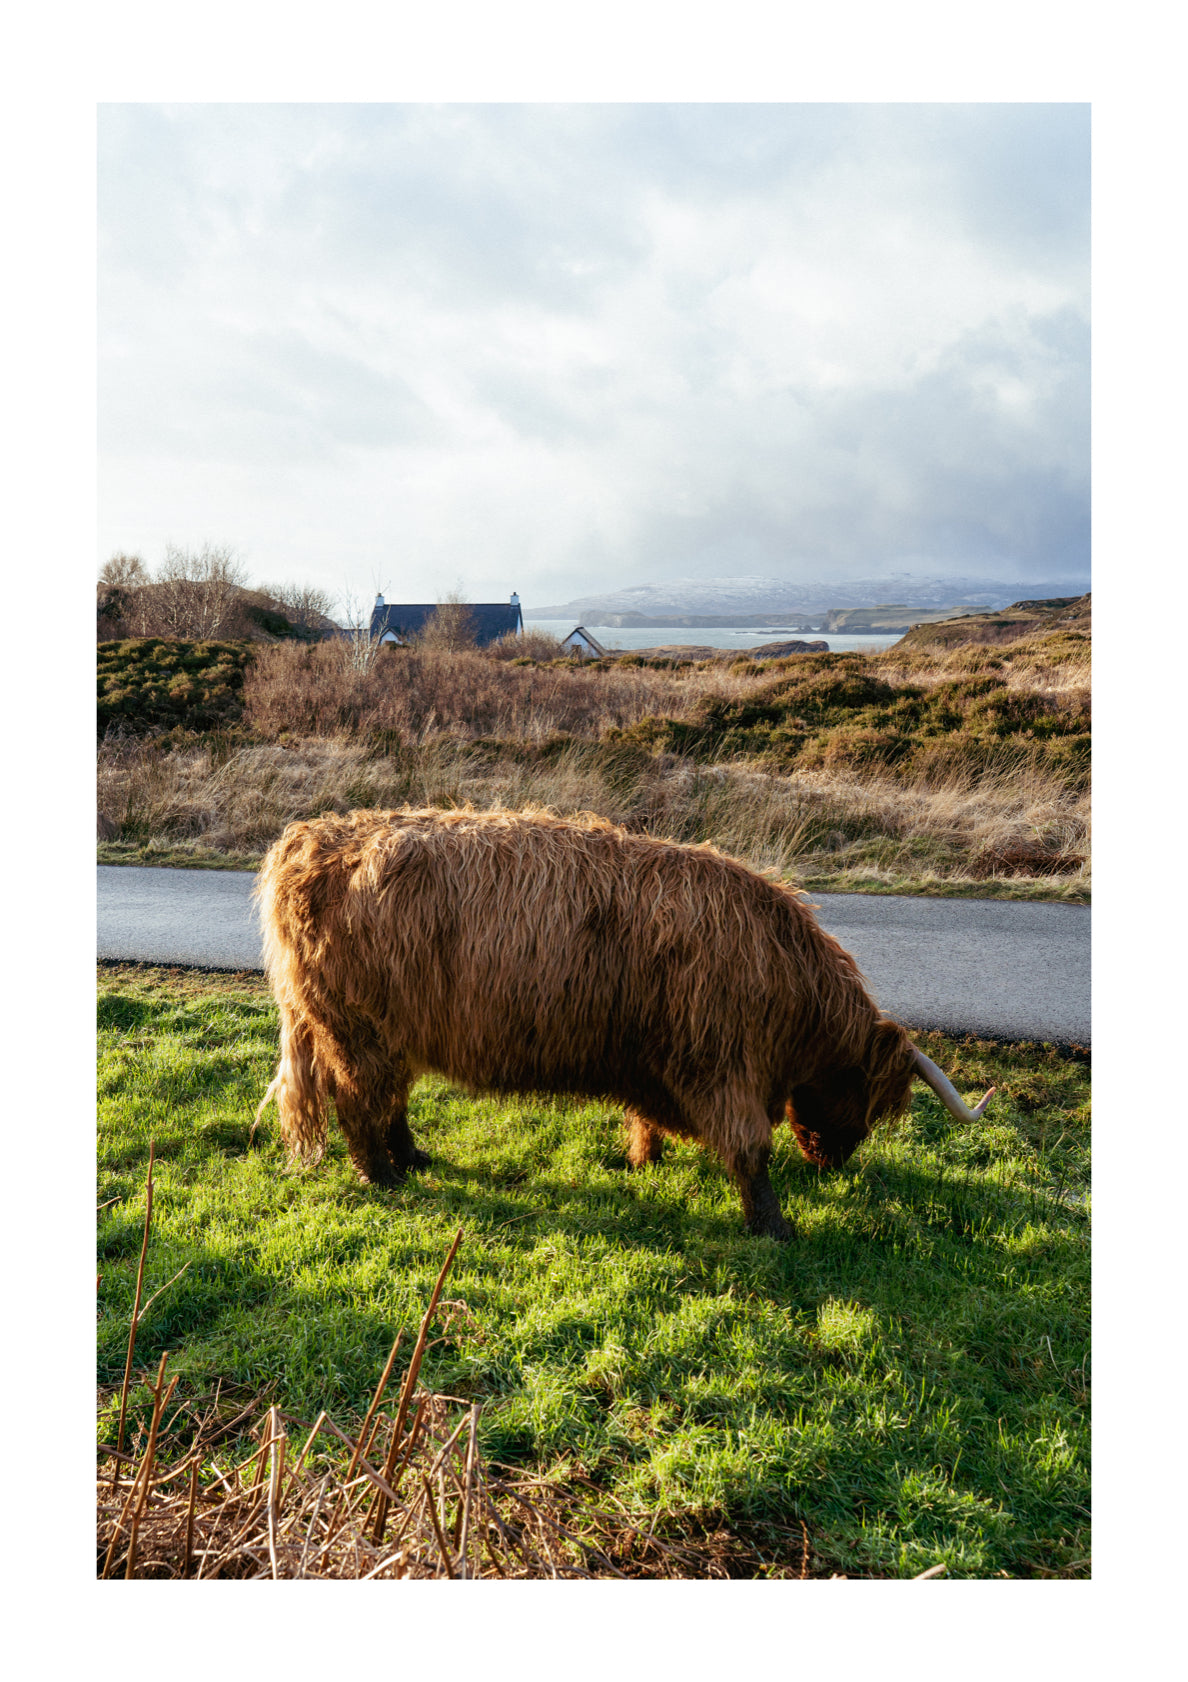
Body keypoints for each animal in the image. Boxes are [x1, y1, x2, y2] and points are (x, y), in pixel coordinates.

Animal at [253, 807, 993, 1240]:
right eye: (865, 1100)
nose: (832, 1158)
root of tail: (306, 839)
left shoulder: (662, 1059)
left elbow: (647, 1119)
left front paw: (642, 1160)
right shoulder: (718, 1063)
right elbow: (750, 1150)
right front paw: (773, 1227)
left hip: (394, 1030)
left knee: (392, 1099)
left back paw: (411, 1158)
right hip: (356, 1029)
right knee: (359, 1101)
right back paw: (381, 1176)